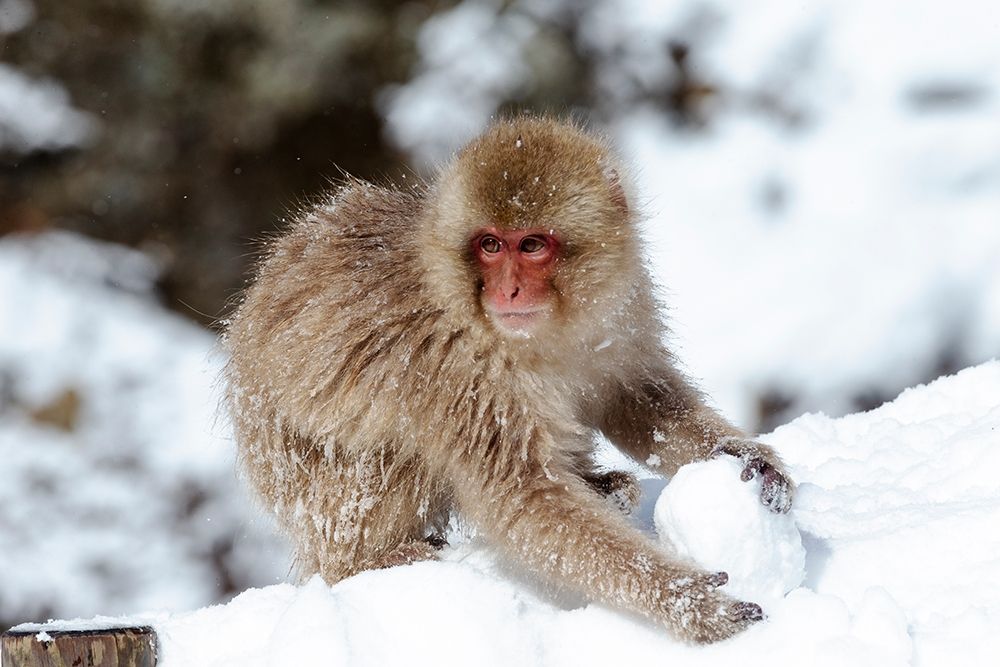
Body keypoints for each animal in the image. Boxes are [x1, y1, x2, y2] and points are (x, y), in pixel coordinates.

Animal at [224, 117, 794, 644]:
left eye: (533, 244)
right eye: (491, 245)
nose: (510, 291)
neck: (538, 336)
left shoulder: (623, 310)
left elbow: (636, 400)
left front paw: (745, 455)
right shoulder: (461, 374)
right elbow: (525, 503)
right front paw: (690, 604)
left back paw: (605, 487)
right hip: (312, 488)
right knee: (387, 461)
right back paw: (369, 561)